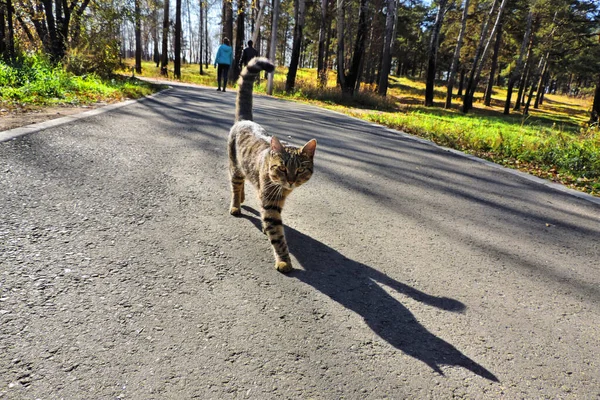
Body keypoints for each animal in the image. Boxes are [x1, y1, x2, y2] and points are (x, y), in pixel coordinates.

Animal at [226, 56, 318, 274]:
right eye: (282, 168)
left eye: (300, 169)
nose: (291, 181)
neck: (283, 189)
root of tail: (245, 120)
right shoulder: (270, 203)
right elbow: (277, 234)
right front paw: (284, 260)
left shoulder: (274, 201)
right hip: (234, 166)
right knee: (235, 185)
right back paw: (235, 205)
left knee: (243, 183)